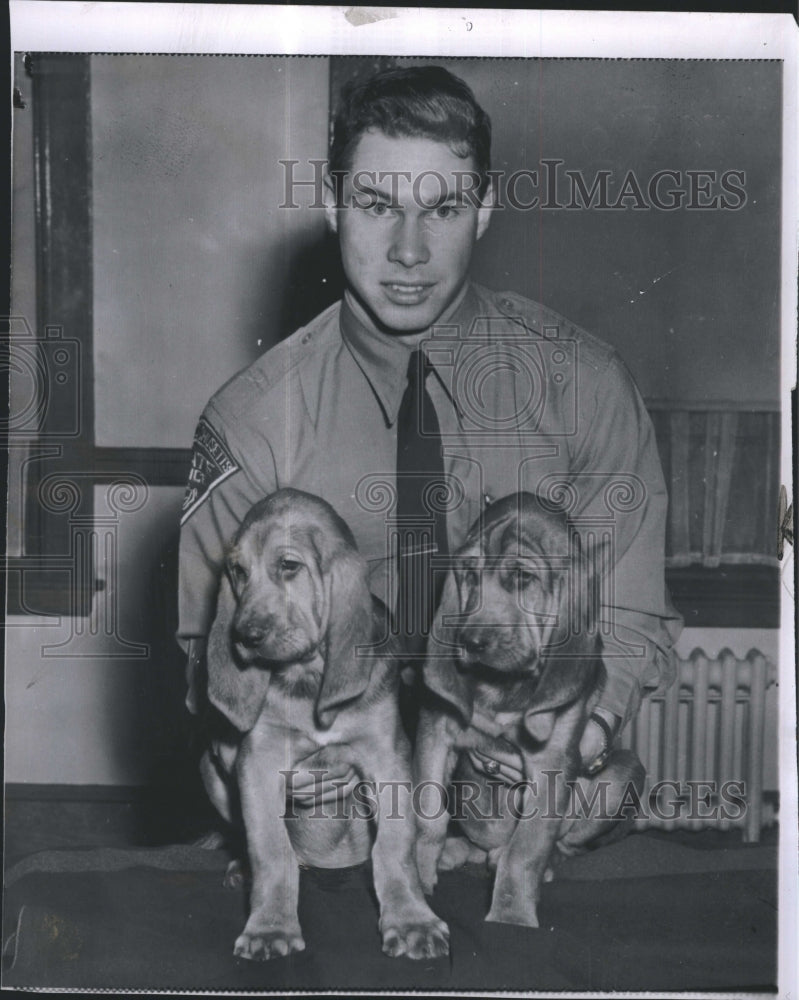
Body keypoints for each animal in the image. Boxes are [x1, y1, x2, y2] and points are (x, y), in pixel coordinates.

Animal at [200, 490, 450, 960]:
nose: (244, 636)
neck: (308, 678)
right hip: (210, 768)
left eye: (288, 565)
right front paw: (270, 928)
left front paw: (412, 921)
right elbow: (270, 848)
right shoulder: (258, 761)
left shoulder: (387, 757)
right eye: (238, 571)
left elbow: (395, 846)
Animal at [416, 492, 648, 928]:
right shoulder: (435, 732)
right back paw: (454, 852)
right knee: (477, 843)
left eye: (523, 578)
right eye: (469, 574)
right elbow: (426, 815)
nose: (470, 641)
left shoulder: (551, 762)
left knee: (558, 846)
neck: (502, 685)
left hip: (623, 774)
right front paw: (414, 876)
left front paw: (511, 917)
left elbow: (526, 850)